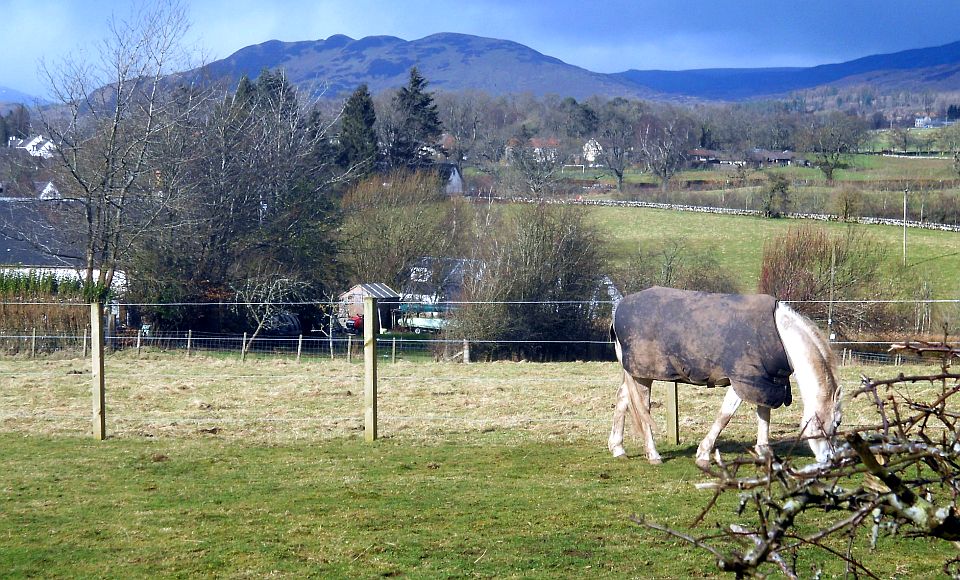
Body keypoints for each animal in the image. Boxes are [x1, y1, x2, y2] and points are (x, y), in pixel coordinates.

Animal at [608, 286, 840, 466]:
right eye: (834, 423)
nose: (830, 459)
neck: (780, 335)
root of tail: (618, 309)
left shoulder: (766, 382)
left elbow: (764, 415)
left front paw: (765, 454)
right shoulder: (743, 380)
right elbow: (725, 416)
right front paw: (703, 454)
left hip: (634, 373)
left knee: (623, 399)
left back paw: (618, 449)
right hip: (642, 374)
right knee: (642, 408)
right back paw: (653, 455)